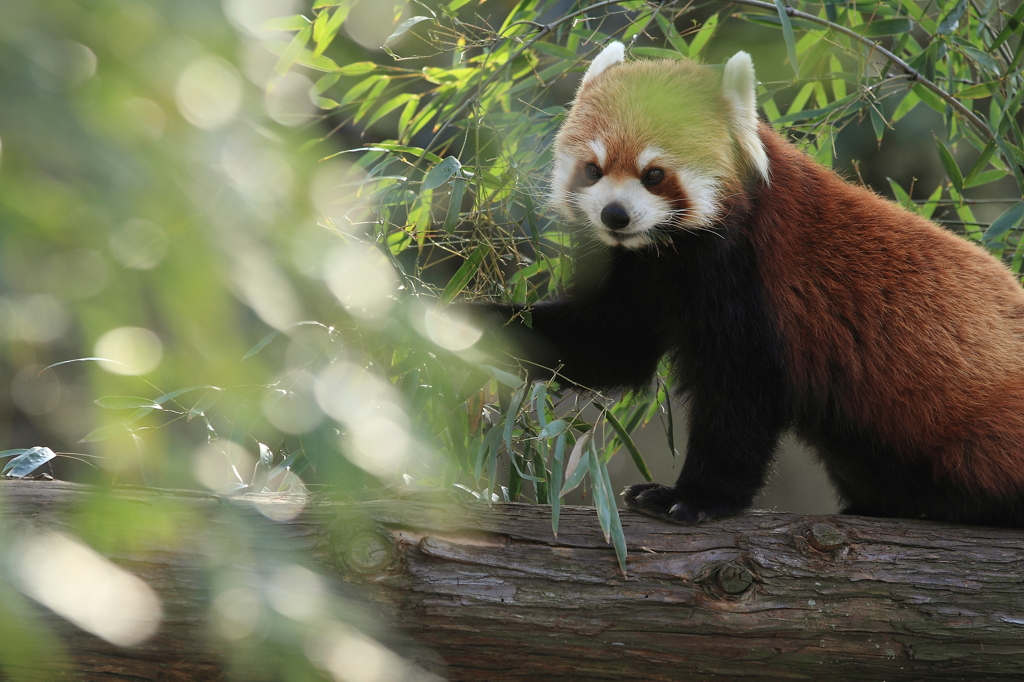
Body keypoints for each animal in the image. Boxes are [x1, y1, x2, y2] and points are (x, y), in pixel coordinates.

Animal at [466, 39, 1024, 522]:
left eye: (654, 174)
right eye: (592, 169)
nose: (615, 215)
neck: (671, 252)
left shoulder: (755, 279)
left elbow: (741, 391)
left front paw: (692, 496)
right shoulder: (640, 272)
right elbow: (608, 342)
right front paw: (468, 325)